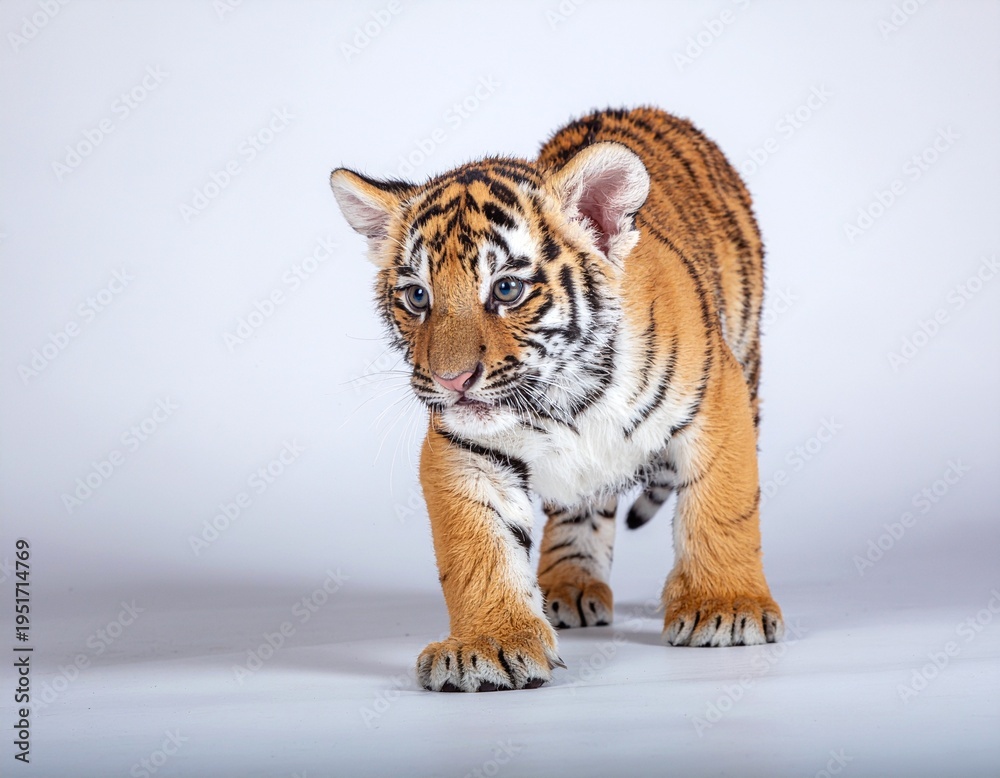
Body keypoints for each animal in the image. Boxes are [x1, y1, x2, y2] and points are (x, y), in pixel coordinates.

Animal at [330, 106, 783, 693]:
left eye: (506, 289)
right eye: (417, 297)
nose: (452, 380)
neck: (565, 398)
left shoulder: (715, 400)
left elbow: (722, 509)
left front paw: (726, 608)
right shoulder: (464, 449)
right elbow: (478, 549)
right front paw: (487, 646)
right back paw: (570, 588)